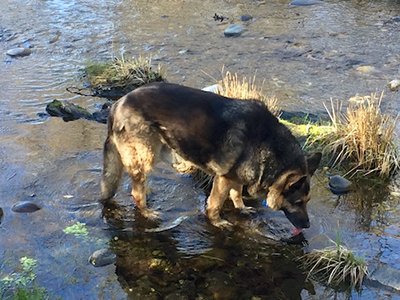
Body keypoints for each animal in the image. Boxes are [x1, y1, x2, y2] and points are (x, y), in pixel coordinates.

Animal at [101, 82, 322, 230]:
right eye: (298, 203)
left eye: (308, 201)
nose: (308, 226)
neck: (270, 144)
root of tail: (117, 104)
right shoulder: (223, 179)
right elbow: (215, 204)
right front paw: (217, 222)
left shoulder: (236, 177)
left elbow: (237, 193)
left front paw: (242, 208)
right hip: (146, 155)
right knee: (135, 192)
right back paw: (147, 211)